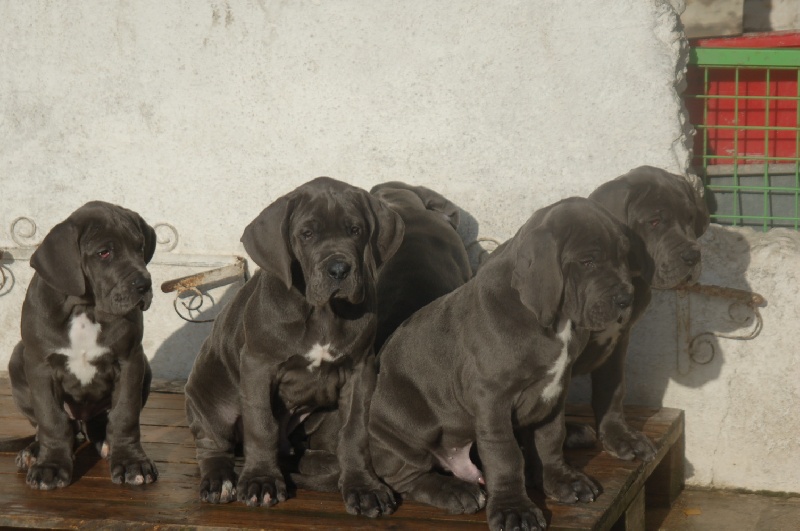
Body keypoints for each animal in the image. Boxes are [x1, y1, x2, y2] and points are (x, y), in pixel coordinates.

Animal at [7, 203, 158, 490]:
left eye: (139, 247)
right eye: (104, 253)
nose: (144, 284)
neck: (84, 307)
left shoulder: (130, 361)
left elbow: (125, 414)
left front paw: (131, 462)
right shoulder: (40, 366)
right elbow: (51, 419)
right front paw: (51, 466)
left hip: (145, 366)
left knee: (100, 424)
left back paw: (106, 442)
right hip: (17, 359)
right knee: (50, 426)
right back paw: (34, 451)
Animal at [184, 177, 404, 516]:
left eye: (355, 230)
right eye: (307, 234)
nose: (339, 269)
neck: (323, 311)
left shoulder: (360, 369)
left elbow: (354, 430)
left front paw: (363, 486)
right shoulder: (258, 365)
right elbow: (261, 424)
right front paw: (261, 480)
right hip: (211, 398)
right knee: (213, 444)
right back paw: (220, 480)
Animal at [366, 197, 636, 528]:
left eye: (624, 255)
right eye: (588, 262)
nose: (627, 299)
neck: (554, 321)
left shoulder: (554, 394)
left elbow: (549, 439)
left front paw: (561, 479)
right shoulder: (493, 398)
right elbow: (505, 455)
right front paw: (514, 510)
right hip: (402, 425)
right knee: (407, 476)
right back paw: (453, 491)